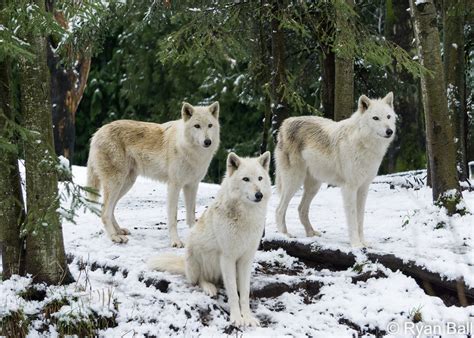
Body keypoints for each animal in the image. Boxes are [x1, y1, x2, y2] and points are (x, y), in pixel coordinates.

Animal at [87, 101, 220, 247]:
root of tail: (98, 132)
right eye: (197, 126)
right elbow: (173, 217)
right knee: (105, 212)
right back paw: (115, 237)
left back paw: (119, 231)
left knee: (109, 210)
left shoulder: (192, 185)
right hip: (116, 183)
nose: (207, 142)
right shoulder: (174, 185)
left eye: (210, 125)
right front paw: (176, 241)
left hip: (126, 184)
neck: (191, 151)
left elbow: (191, 215)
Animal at [150, 152, 272, 326]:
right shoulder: (227, 258)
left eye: (260, 178)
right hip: (196, 253)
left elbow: (244, 294)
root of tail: (184, 265)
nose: (259, 195)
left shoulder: (246, 259)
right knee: (199, 280)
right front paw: (237, 318)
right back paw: (209, 287)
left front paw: (248, 317)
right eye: (246, 179)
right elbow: (233, 294)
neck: (246, 217)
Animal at [274, 92, 396, 248]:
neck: (364, 144)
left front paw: (363, 242)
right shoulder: (349, 188)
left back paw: (311, 233)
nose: (389, 131)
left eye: (388, 116)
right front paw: (356, 244)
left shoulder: (363, 187)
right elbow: (352, 218)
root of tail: (285, 124)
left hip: (314, 186)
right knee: (279, 209)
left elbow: (360, 218)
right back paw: (284, 235)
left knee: (301, 209)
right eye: (375, 118)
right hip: (293, 182)